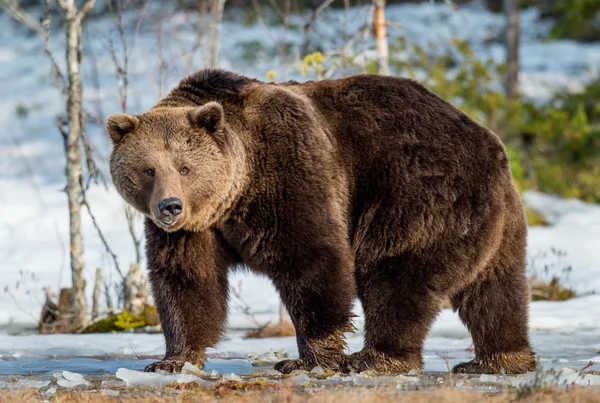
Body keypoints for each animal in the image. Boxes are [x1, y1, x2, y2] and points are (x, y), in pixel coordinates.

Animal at [106, 68, 536, 376]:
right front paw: (171, 359)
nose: (170, 207)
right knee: (495, 290)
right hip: (499, 222)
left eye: (185, 167)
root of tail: (489, 140)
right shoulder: (194, 230)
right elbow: (187, 281)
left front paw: (309, 357)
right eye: (148, 169)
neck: (233, 195)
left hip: (418, 193)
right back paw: (498, 360)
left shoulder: (287, 174)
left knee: (395, 273)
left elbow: (312, 261)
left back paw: (376, 358)